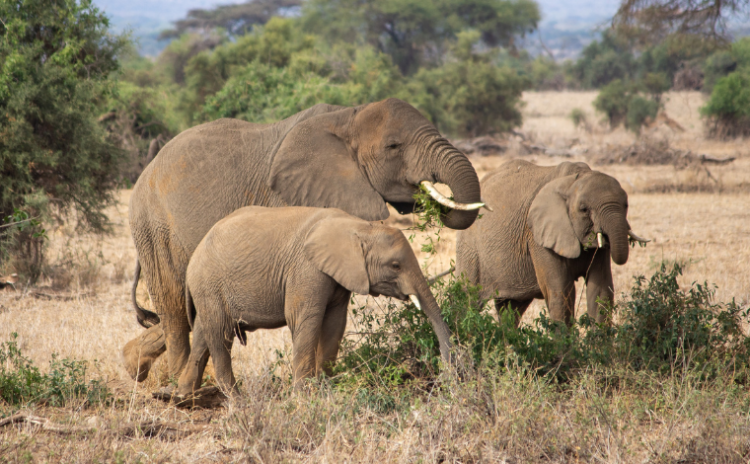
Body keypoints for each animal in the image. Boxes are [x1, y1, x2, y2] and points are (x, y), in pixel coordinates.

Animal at [179, 206, 456, 396]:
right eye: (396, 265)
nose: (445, 378)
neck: (360, 227)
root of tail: (194, 255)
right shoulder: (307, 269)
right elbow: (305, 320)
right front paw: (303, 396)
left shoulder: (338, 275)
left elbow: (335, 323)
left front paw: (325, 386)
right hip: (209, 284)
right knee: (220, 336)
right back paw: (236, 399)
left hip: (207, 289)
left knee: (204, 333)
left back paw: (184, 395)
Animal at [456, 160, 648, 326]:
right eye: (584, 209)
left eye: (626, 205)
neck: (573, 182)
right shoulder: (537, 237)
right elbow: (561, 292)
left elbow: (601, 291)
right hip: (470, 249)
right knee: (467, 299)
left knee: (511, 309)